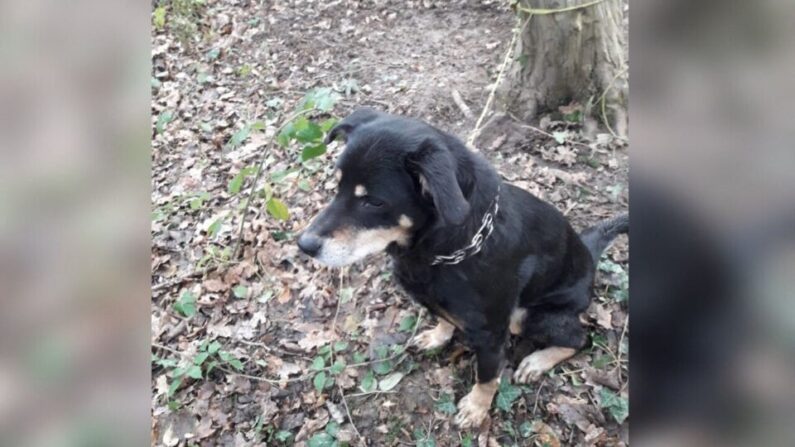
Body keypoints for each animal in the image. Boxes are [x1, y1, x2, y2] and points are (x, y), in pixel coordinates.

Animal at [296, 109, 628, 430]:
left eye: (373, 201)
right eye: (337, 186)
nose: (304, 244)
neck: (444, 250)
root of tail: (589, 255)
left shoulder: (492, 334)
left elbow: (487, 377)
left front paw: (476, 408)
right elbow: (443, 319)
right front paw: (437, 336)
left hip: (526, 316)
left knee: (580, 338)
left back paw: (537, 361)